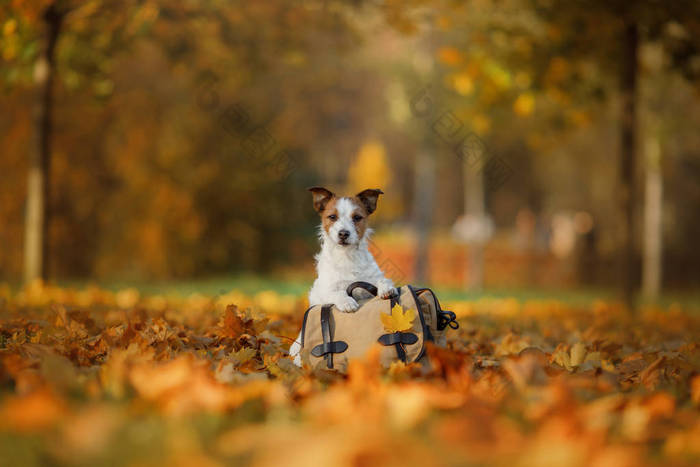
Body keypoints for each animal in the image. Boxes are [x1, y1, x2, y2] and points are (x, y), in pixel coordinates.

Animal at [288, 186, 396, 366]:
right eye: (332, 217)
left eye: (357, 217)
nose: (343, 233)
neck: (347, 257)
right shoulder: (326, 290)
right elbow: (337, 292)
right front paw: (347, 302)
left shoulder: (369, 281)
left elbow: (381, 280)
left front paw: (387, 288)